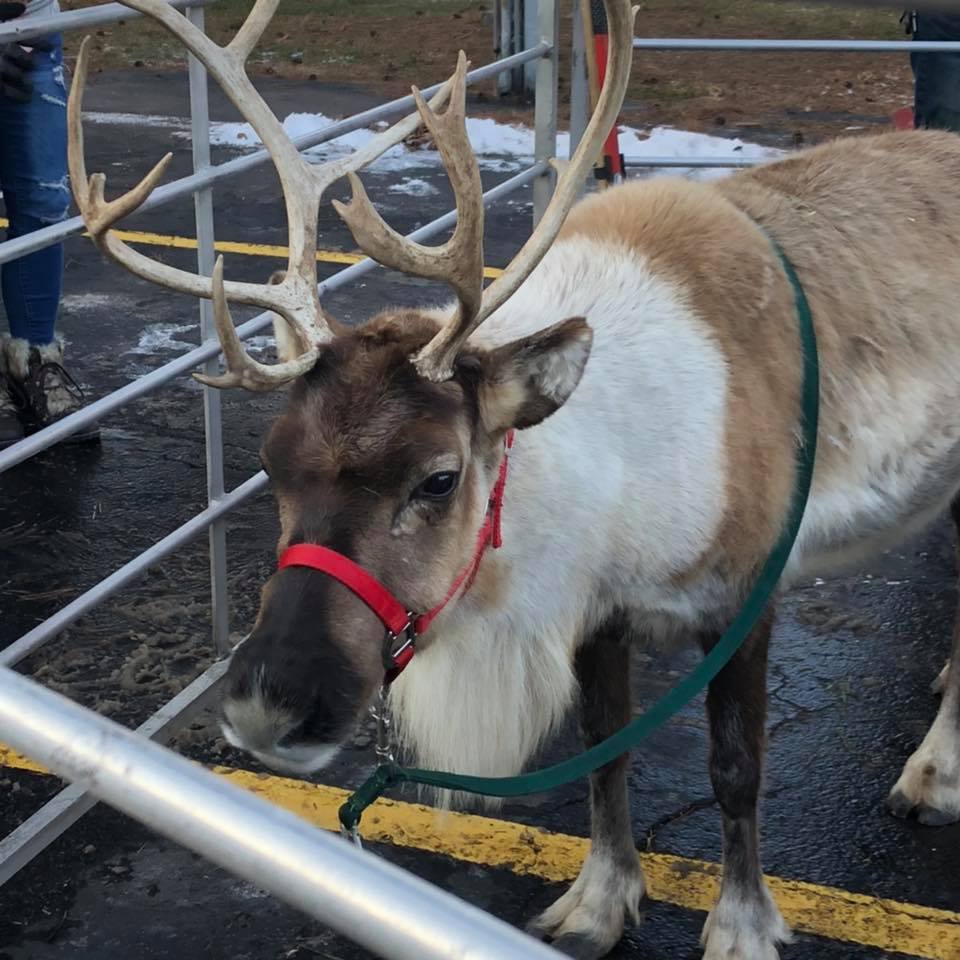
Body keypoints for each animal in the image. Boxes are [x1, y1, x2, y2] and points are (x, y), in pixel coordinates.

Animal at [66, 0, 960, 957]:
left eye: (438, 478)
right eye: (270, 461)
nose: (270, 702)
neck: (611, 490)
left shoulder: (748, 591)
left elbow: (736, 769)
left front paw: (743, 924)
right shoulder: (601, 614)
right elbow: (607, 749)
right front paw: (600, 901)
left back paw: (933, 772)